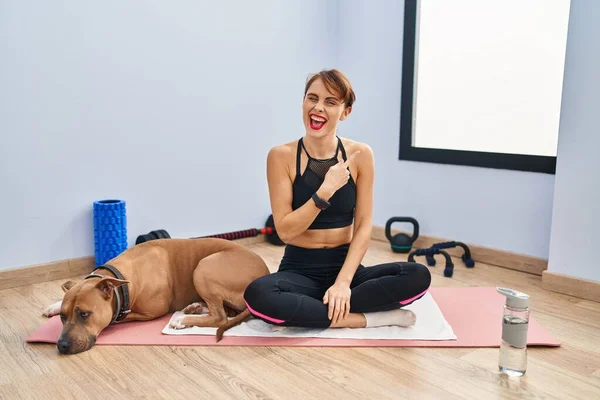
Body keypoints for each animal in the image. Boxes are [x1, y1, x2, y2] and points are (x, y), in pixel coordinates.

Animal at [45, 238, 270, 354]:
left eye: (84, 314)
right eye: (63, 317)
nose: (61, 345)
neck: (121, 277)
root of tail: (264, 271)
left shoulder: (147, 312)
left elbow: (118, 318)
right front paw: (54, 305)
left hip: (203, 267)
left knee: (220, 317)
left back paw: (182, 320)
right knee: (225, 311)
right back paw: (194, 307)